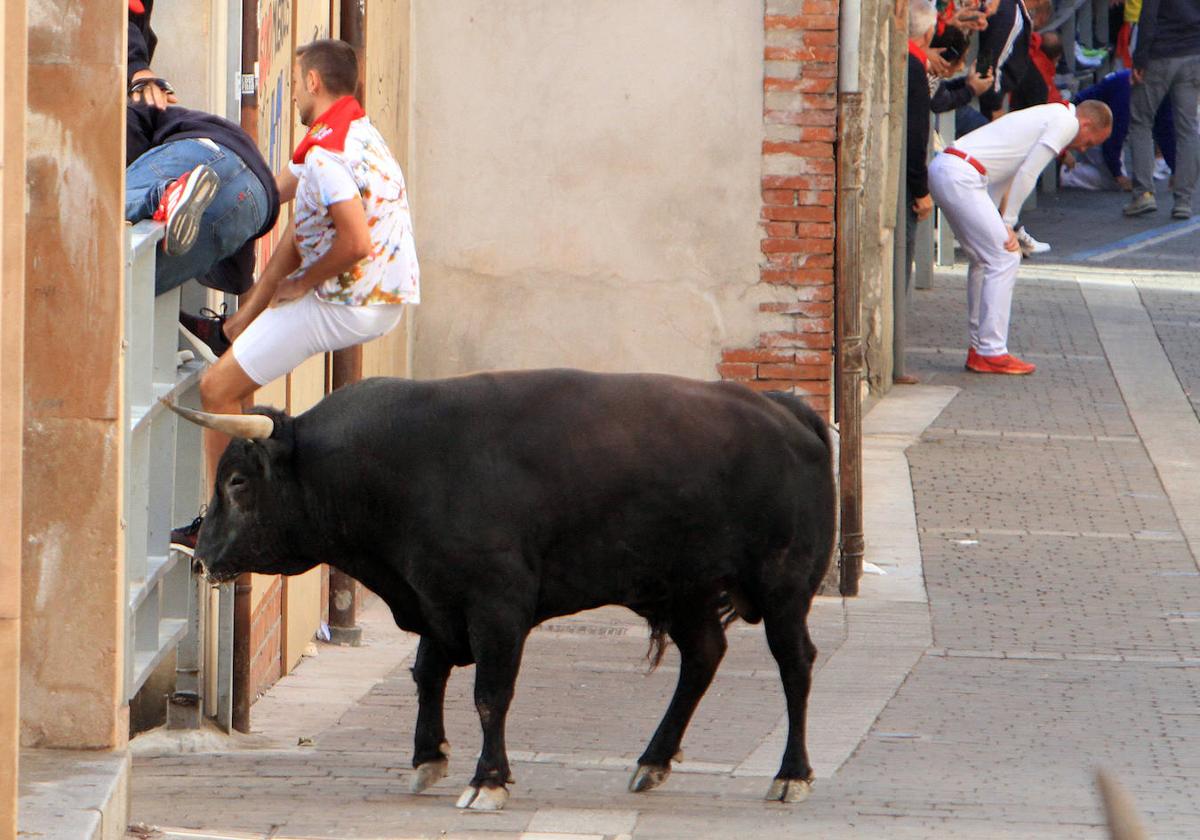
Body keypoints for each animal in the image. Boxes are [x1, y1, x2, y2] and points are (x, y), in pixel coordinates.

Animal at [180, 369, 835, 811]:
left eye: (237, 481)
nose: (201, 554)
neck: (401, 463)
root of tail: (784, 410)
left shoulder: (495, 608)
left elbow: (490, 694)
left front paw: (487, 779)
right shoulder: (436, 600)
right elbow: (429, 676)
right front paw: (428, 759)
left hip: (782, 588)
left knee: (796, 665)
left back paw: (792, 774)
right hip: (686, 591)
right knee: (702, 658)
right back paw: (651, 763)